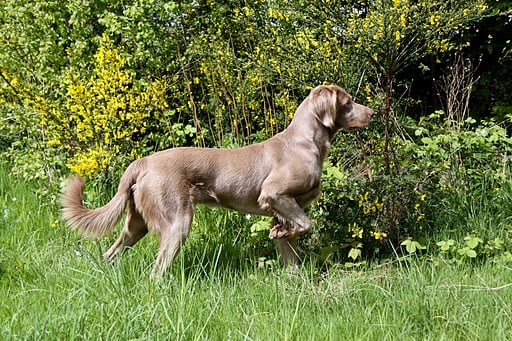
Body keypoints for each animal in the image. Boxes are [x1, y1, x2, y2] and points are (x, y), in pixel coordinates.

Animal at [61, 84, 372, 276]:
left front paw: (293, 272)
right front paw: (280, 236)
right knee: (157, 270)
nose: (371, 113)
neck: (305, 142)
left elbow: (291, 248)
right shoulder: (274, 193)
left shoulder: (281, 209)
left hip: (137, 224)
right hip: (177, 223)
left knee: (112, 252)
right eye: (348, 102)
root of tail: (143, 162)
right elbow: (307, 224)